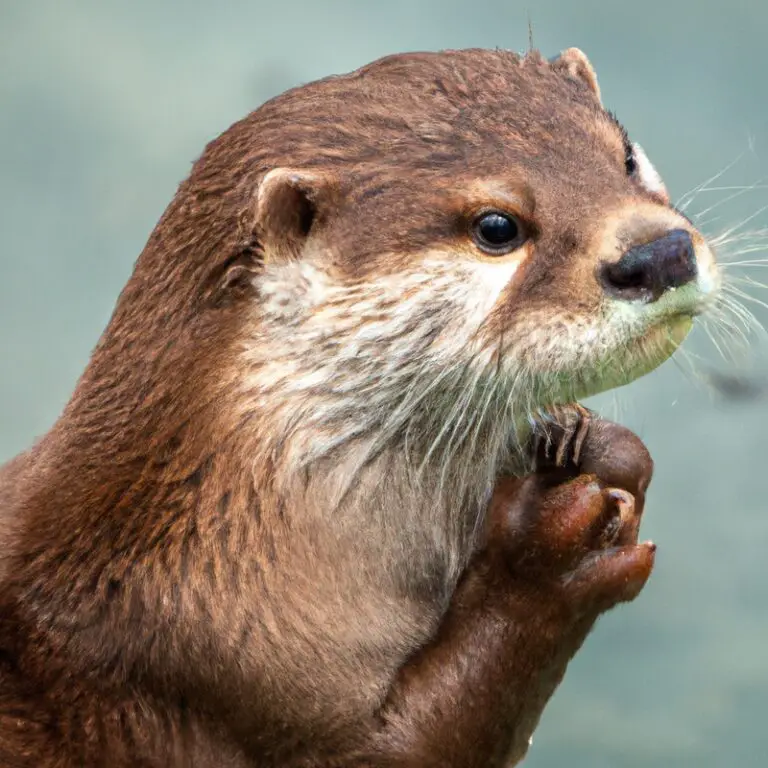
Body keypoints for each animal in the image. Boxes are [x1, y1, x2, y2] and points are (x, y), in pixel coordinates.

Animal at [1, 48, 720, 768]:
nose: (659, 252)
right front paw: (549, 545)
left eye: (625, 157)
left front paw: (584, 443)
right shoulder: (239, 687)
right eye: (496, 227)